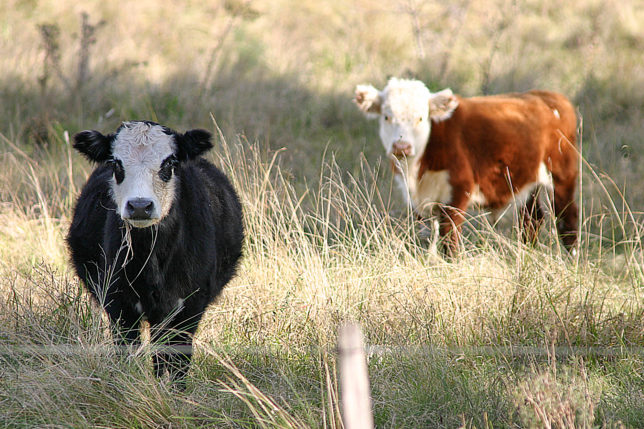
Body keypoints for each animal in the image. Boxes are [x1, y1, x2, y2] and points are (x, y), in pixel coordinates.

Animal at [67, 120, 244, 383]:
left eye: (169, 163)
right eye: (115, 164)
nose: (140, 206)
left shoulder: (190, 306)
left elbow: (178, 358)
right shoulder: (118, 302)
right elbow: (127, 351)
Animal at [354, 77, 578, 256]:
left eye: (421, 118)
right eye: (386, 116)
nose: (401, 146)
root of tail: (549, 96)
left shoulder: (457, 194)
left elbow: (450, 242)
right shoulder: (417, 203)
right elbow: (426, 239)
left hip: (562, 175)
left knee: (567, 221)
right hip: (528, 181)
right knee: (532, 220)